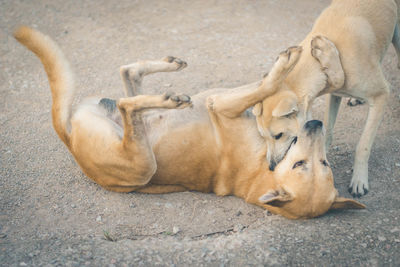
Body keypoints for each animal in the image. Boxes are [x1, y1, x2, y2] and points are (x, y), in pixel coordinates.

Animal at [14, 25, 364, 220]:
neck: (259, 173)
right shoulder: (223, 103)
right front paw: (308, 58)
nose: (316, 126)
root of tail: (69, 139)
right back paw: (170, 72)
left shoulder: (222, 103)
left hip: (142, 163)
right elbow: (273, 84)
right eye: (303, 164)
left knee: (128, 95)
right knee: (127, 82)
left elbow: (271, 86)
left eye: (323, 163)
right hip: (144, 158)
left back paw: (167, 96)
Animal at [256, 0, 400, 197]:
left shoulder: (381, 96)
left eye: (278, 135)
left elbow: (363, 146)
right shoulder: (335, 95)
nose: (271, 167)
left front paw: (359, 179)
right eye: (263, 136)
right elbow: (328, 129)